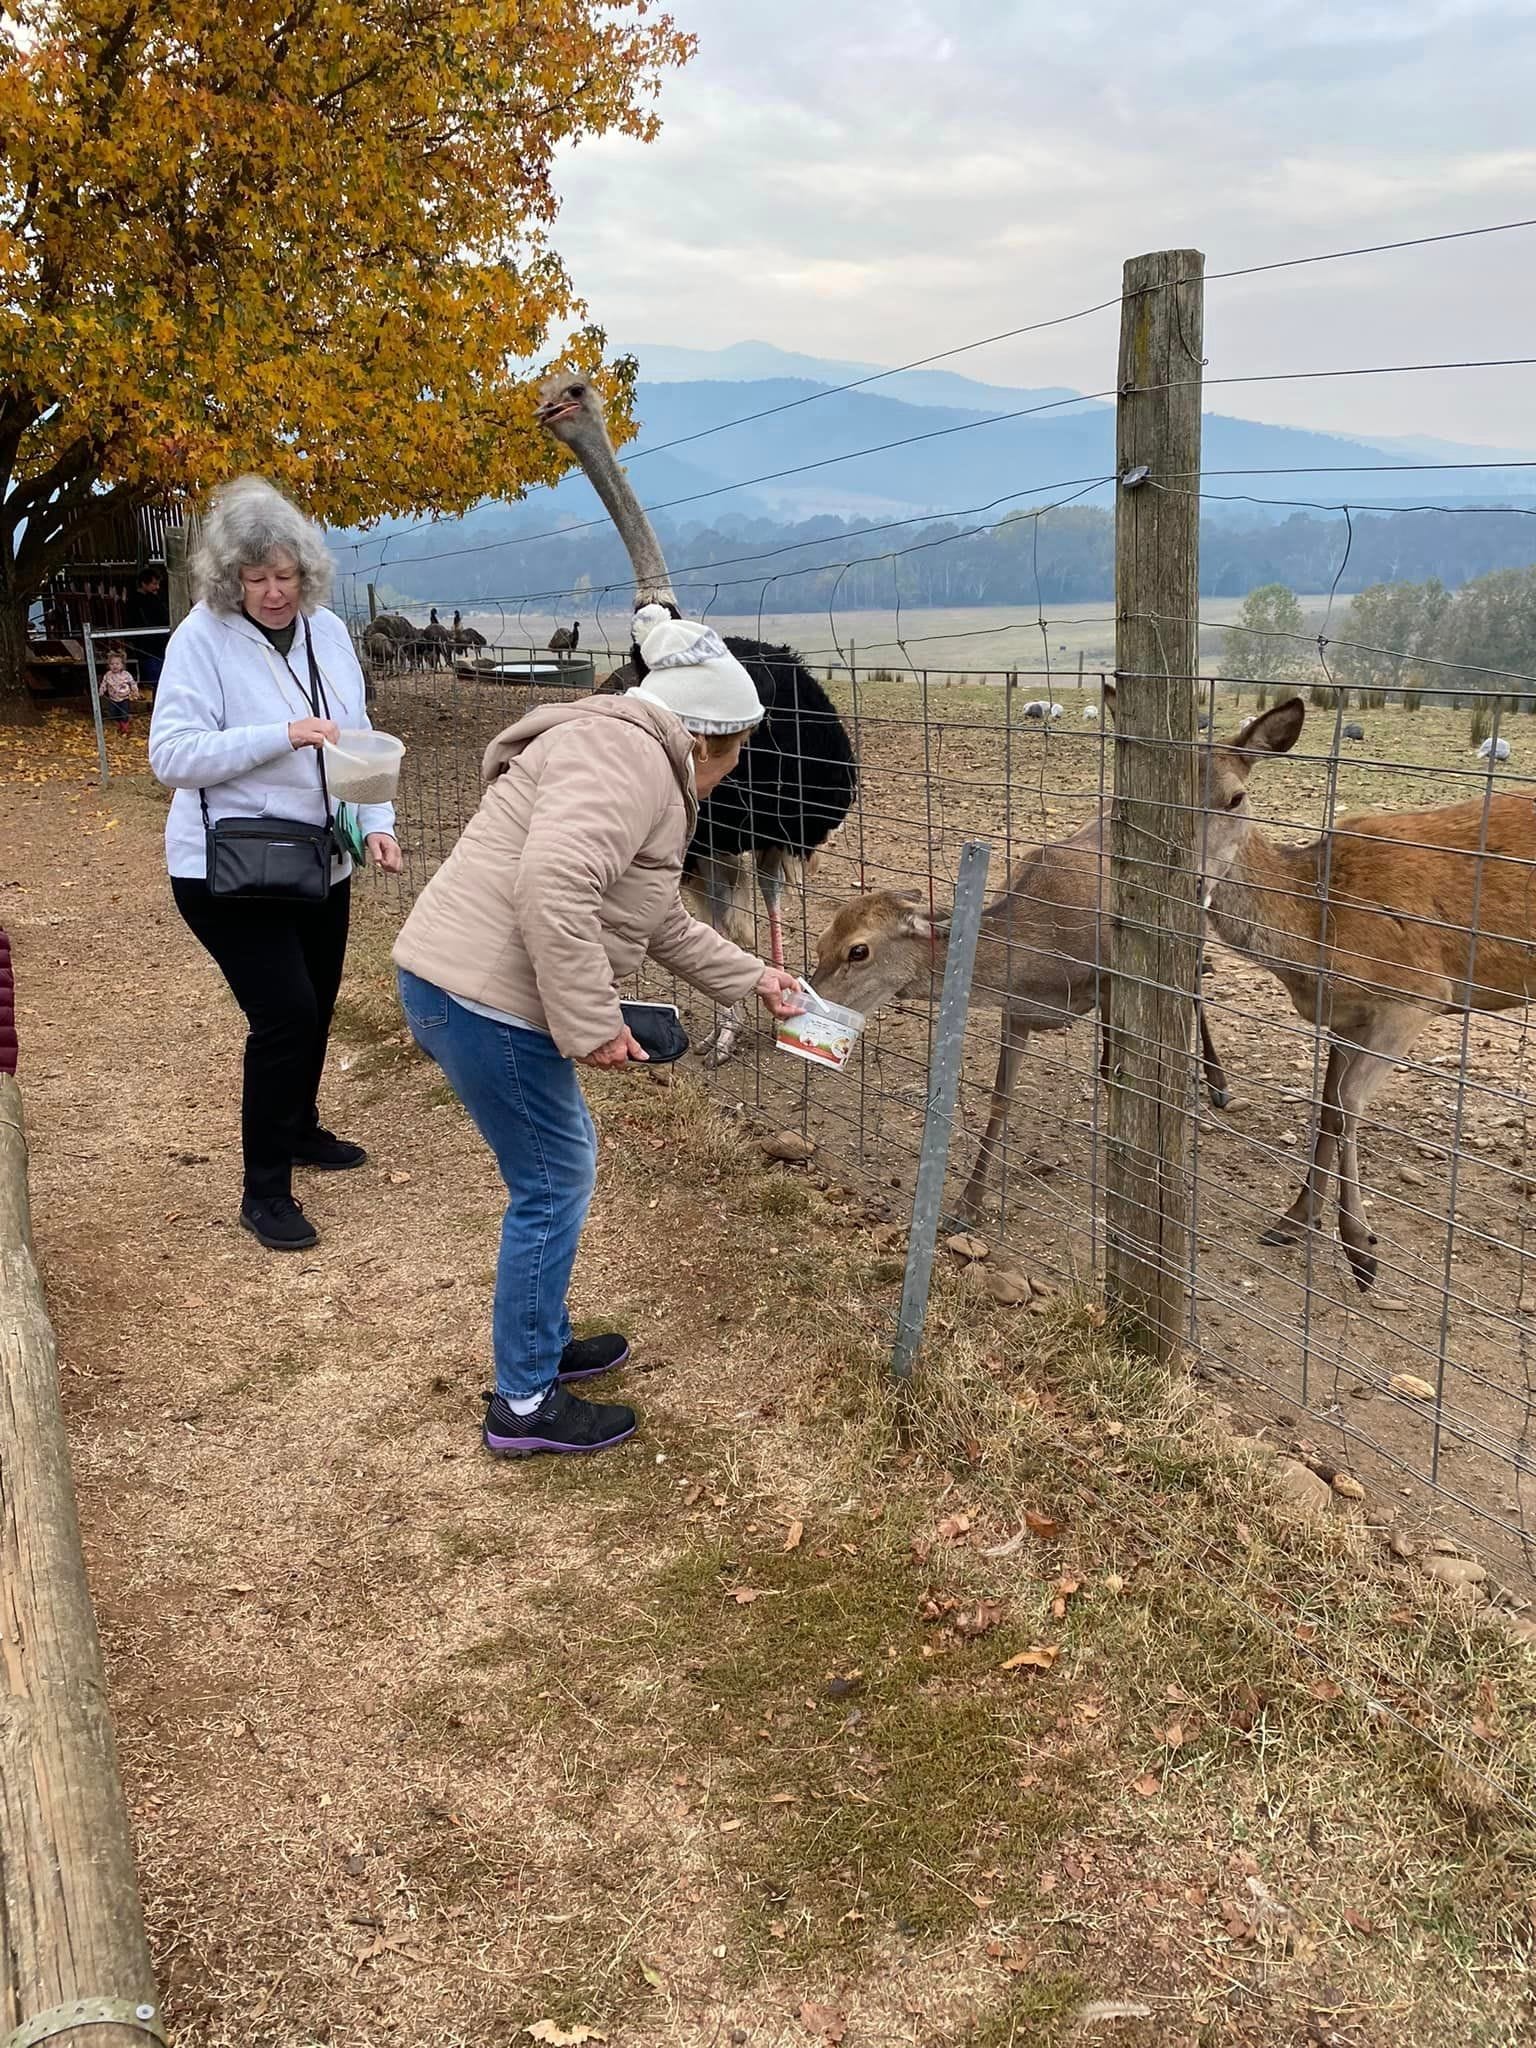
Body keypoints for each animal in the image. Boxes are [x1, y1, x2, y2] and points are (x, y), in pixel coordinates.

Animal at [819, 696, 1236, 1220]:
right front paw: (966, 1205)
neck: (1043, 959)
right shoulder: (1016, 1010)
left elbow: (1122, 1077)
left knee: (1193, 986)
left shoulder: (1112, 980)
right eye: (821, 940)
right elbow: (1001, 1099)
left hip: (1190, 923)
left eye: (858, 950)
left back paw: (1219, 1083)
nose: (805, 995)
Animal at [1204, 696, 1536, 1286]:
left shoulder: (1418, 994)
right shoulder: (1344, 1017)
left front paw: (1360, 1247)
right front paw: (1292, 1221)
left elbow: (1349, 1102)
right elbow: (1327, 1109)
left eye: (1236, 797)